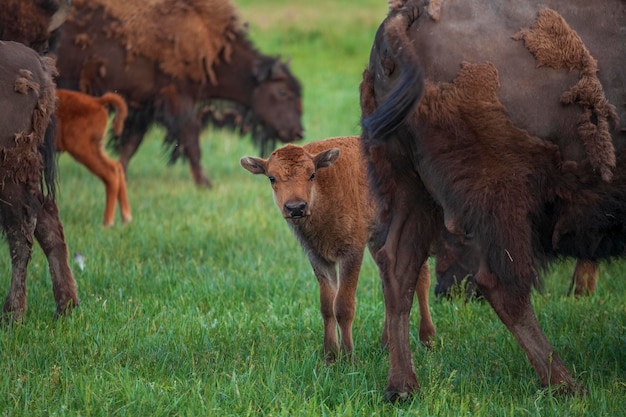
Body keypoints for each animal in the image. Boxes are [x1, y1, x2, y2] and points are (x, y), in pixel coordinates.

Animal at [54, 0, 304, 187]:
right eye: (282, 91)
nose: (298, 131)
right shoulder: (177, 98)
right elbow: (191, 139)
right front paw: (205, 183)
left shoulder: (144, 107)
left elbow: (131, 144)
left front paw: (120, 174)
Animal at [239, 136, 434, 360]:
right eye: (272, 178)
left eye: (312, 174)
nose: (296, 208)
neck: (323, 194)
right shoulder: (318, 258)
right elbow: (327, 305)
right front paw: (329, 355)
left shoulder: (351, 253)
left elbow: (343, 305)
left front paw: (348, 355)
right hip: (378, 241)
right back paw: (386, 343)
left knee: (422, 276)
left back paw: (428, 338)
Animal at [358, 0, 624, 400]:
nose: (448, 291)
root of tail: (409, 13)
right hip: (502, 198)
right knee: (504, 285)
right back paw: (567, 385)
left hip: (410, 189)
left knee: (398, 268)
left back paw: (403, 388)